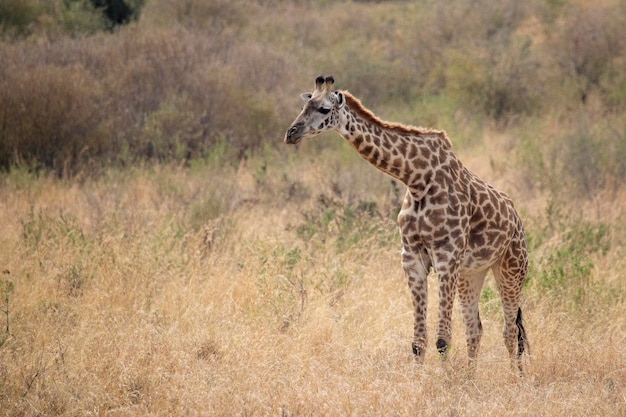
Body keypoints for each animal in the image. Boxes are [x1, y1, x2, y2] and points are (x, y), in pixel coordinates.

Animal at [286, 76, 528, 372]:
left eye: (323, 109)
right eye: (303, 106)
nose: (290, 133)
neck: (417, 180)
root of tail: (517, 219)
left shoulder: (446, 257)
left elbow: (442, 339)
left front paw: (443, 382)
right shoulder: (412, 257)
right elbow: (418, 341)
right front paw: (422, 379)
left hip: (511, 268)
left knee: (510, 331)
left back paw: (516, 379)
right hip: (472, 273)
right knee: (476, 329)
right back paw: (471, 378)